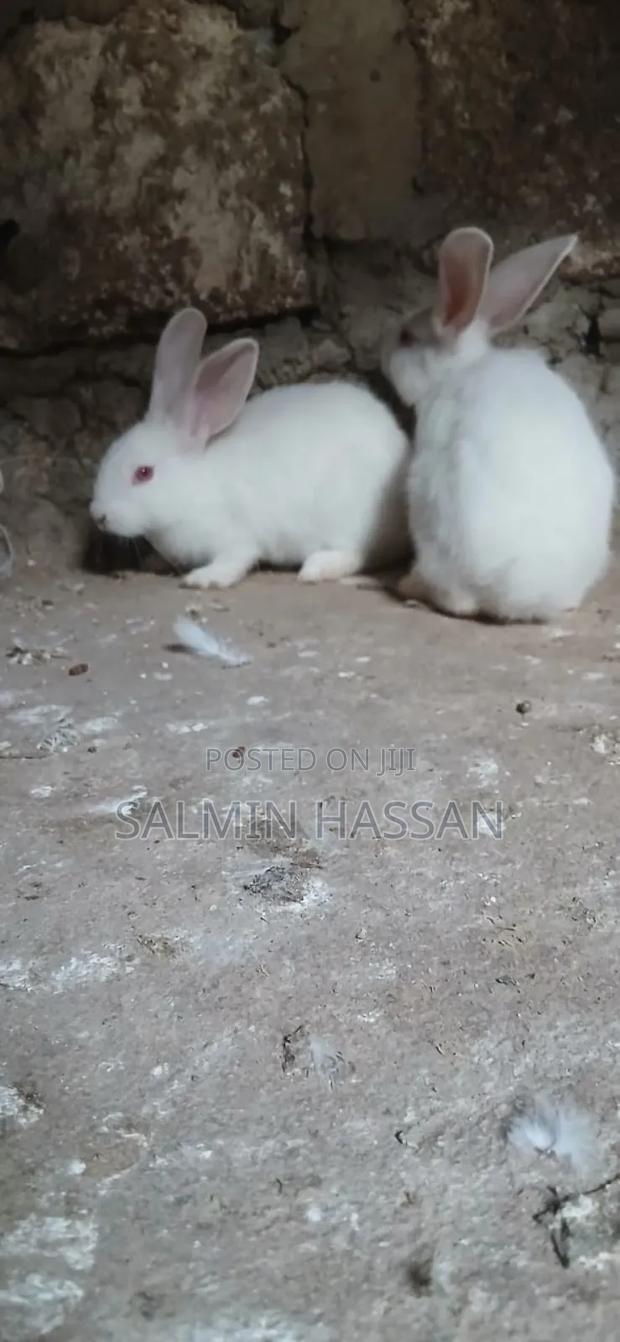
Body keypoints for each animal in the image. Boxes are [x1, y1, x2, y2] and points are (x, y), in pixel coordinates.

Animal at [90, 309, 411, 589]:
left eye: (144, 473)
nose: (98, 515)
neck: (192, 485)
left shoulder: (234, 539)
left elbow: (234, 560)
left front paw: (203, 579)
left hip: (348, 519)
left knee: (356, 554)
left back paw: (314, 569)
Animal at [382, 227, 615, 621]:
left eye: (406, 337)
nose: (381, 354)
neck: (460, 368)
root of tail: (524, 595)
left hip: (428, 504)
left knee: (456, 600)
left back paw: (408, 585)